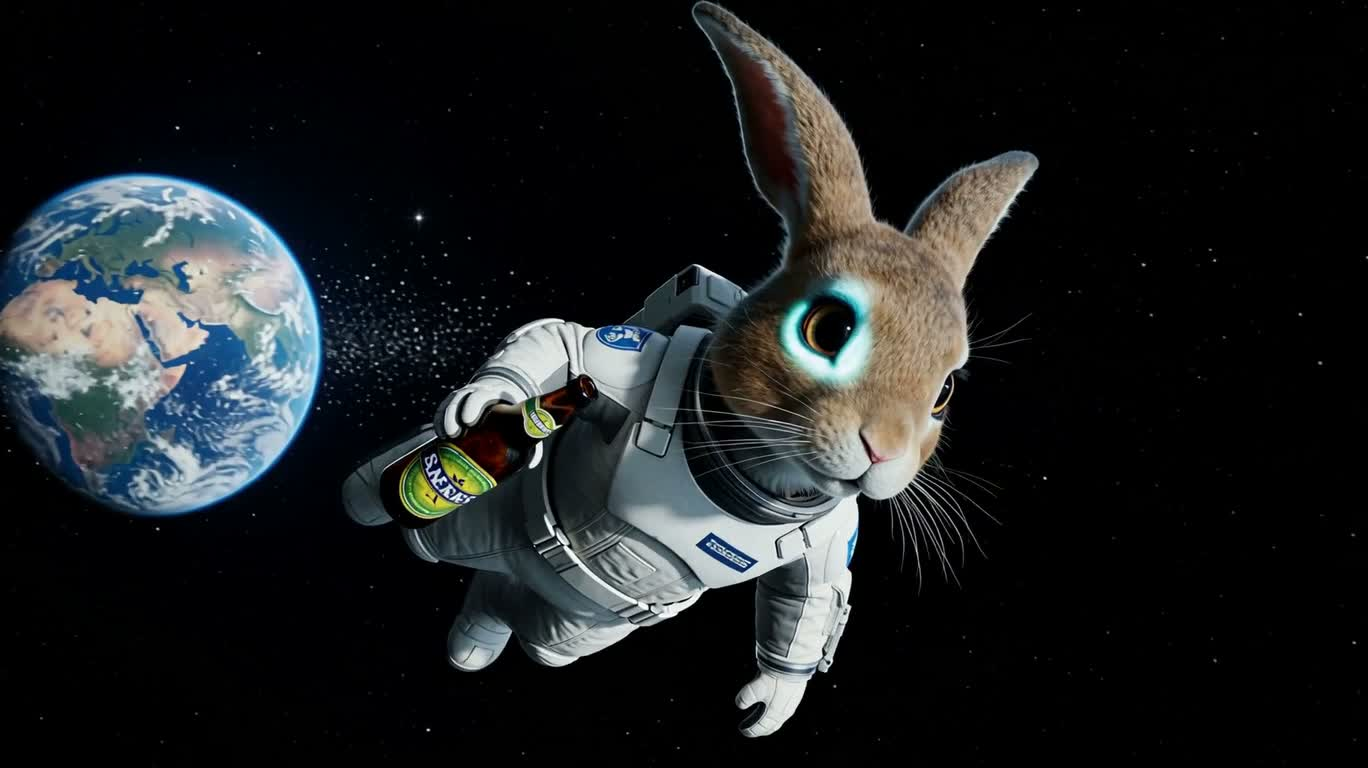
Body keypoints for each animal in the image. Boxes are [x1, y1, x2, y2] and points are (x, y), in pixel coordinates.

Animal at [342, 1, 1038, 739]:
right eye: (827, 329)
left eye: (944, 390)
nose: (884, 451)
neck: (750, 472)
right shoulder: (637, 366)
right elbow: (568, 346)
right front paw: (487, 397)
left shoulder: (830, 531)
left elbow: (813, 590)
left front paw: (769, 703)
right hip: (477, 516)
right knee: (404, 507)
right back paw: (379, 497)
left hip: (577, 625)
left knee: (526, 623)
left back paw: (475, 640)